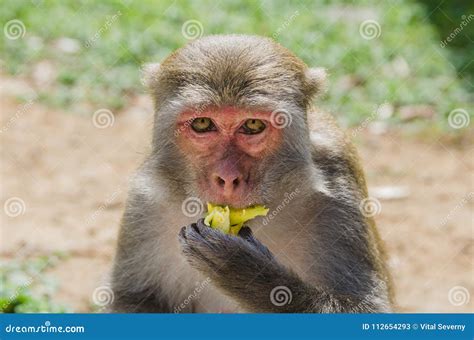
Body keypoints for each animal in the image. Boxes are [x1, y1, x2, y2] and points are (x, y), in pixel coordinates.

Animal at [109, 34, 394, 314]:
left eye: (253, 125)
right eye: (203, 123)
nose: (227, 177)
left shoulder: (338, 184)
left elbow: (367, 307)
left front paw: (245, 273)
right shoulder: (145, 202)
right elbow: (134, 299)